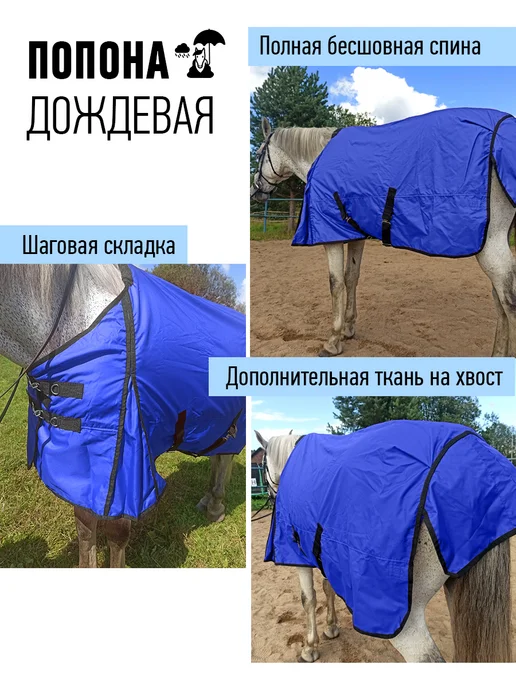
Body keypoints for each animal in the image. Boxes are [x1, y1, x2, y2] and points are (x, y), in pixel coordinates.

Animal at [0, 265, 242, 568]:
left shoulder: (124, 467)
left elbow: (116, 533)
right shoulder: (81, 463)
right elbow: (85, 526)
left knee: (225, 457)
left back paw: (215, 507)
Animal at [250, 116, 516, 357]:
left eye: (259, 153)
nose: (256, 191)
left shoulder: (332, 236)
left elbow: (336, 284)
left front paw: (333, 341)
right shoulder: (355, 234)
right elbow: (351, 277)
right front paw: (348, 328)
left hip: (491, 247)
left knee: (509, 303)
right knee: (499, 301)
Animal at [254, 429, 513, 663]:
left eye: (263, 466)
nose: (269, 495)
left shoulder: (297, 553)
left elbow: (308, 600)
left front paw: (310, 648)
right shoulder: (325, 552)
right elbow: (328, 589)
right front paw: (331, 627)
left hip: (406, 623)